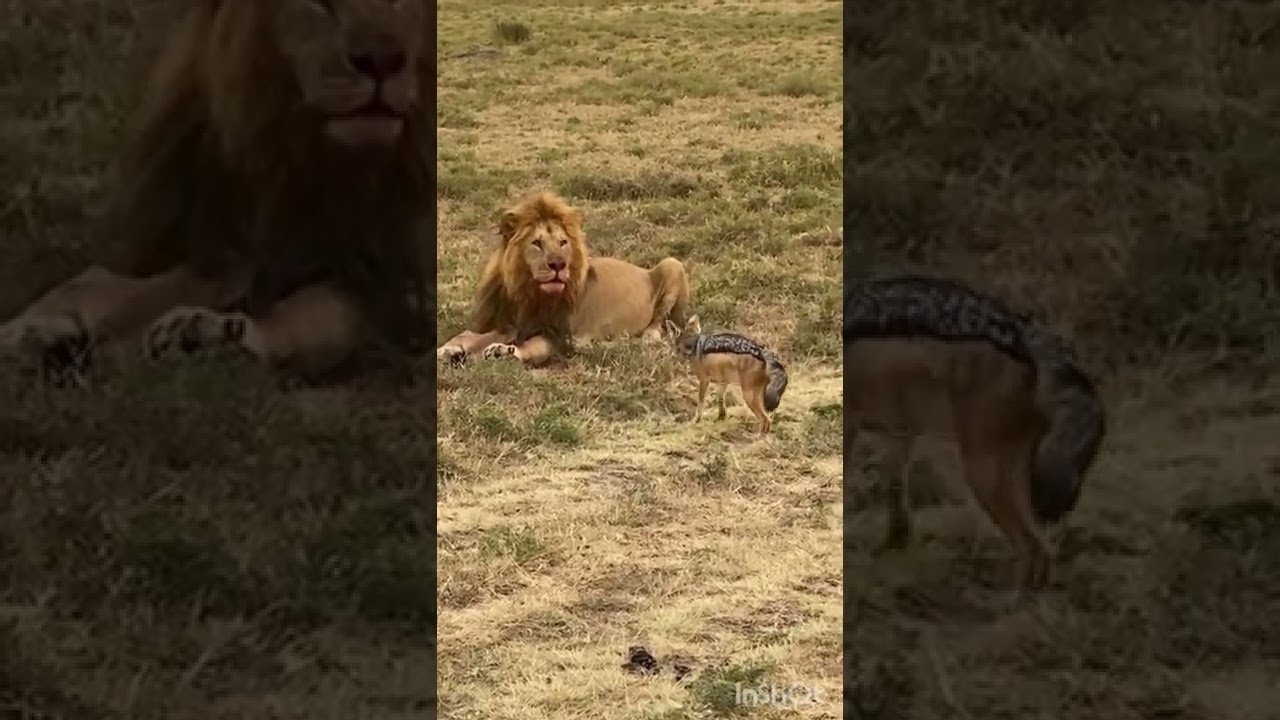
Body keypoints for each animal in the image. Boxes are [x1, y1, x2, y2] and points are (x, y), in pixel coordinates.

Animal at [0, 0, 433, 384]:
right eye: (317, 3)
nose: (382, 58)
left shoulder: (388, 277)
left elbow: (325, 316)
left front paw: (204, 336)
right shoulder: (217, 244)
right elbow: (114, 284)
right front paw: (34, 330)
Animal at [436, 192, 691, 368]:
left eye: (562, 243)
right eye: (537, 243)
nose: (558, 265)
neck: (527, 292)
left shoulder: (559, 336)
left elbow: (535, 347)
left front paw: (502, 352)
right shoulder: (508, 323)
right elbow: (466, 335)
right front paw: (447, 351)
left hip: (671, 264)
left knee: (660, 323)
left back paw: (649, 337)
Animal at [844, 274, 1106, 596]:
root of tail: (1027, 335)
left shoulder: (857, 426)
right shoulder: (901, 433)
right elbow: (895, 496)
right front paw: (893, 549)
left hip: (983, 474)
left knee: (1033, 549)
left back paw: (1006, 603)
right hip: (1011, 475)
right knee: (1042, 553)